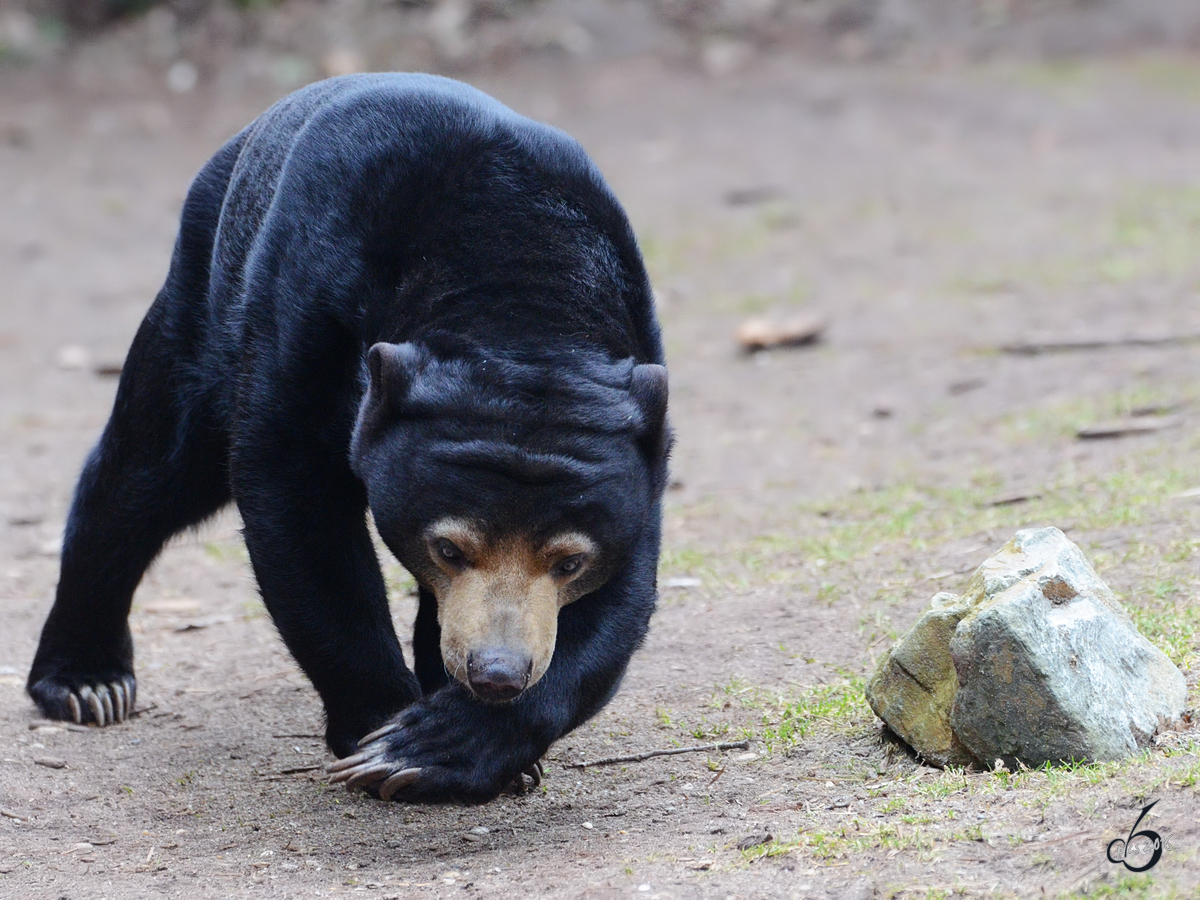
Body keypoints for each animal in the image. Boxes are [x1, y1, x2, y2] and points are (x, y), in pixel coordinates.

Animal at [25, 72, 667, 801]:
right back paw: (87, 682)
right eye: (448, 547)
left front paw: (447, 743)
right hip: (204, 303)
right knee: (149, 474)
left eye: (569, 562)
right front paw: (381, 733)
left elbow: (616, 603)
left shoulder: (635, 433)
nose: (498, 674)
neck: (522, 292)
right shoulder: (309, 315)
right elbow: (299, 514)